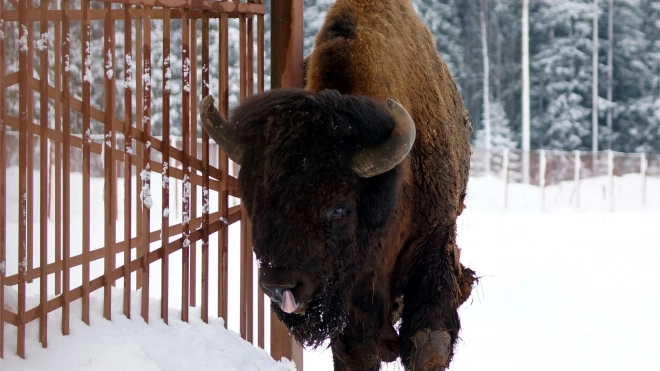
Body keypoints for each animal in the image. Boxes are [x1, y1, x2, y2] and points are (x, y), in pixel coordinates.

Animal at [200, 0, 474, 371]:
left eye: (339, 208)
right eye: (254, 202)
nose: (280, 287)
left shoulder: (434, 240)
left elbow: (428, 341)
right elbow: (357, 350)